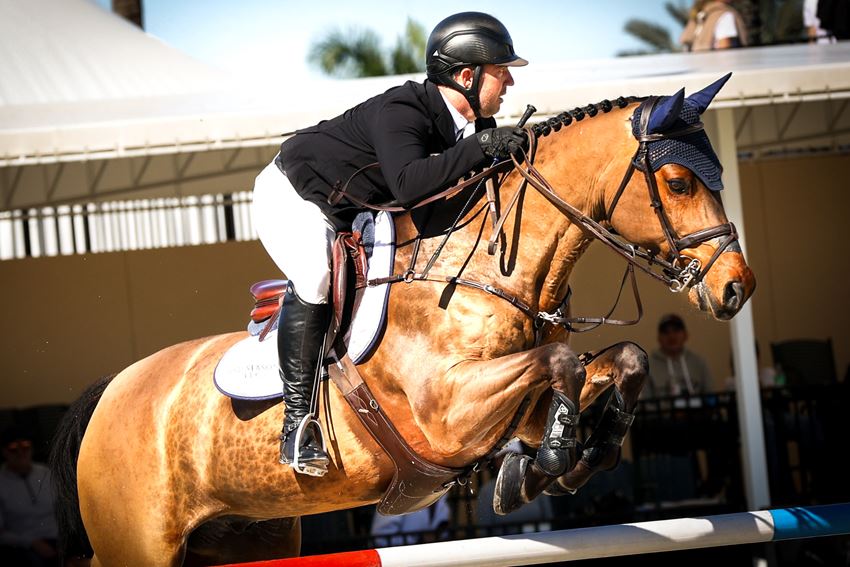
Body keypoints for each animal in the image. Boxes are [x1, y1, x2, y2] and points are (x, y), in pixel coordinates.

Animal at [51, 76, 756, 567]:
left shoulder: (508, 405)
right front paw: (554, 455)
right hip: (140, 545)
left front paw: (572, 455)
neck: (491, 270)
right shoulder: (448, 415)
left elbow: (622, 360)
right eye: (678, 182)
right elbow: (560, 364)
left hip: (247, 534)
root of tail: (108, 393)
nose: (736, 287)